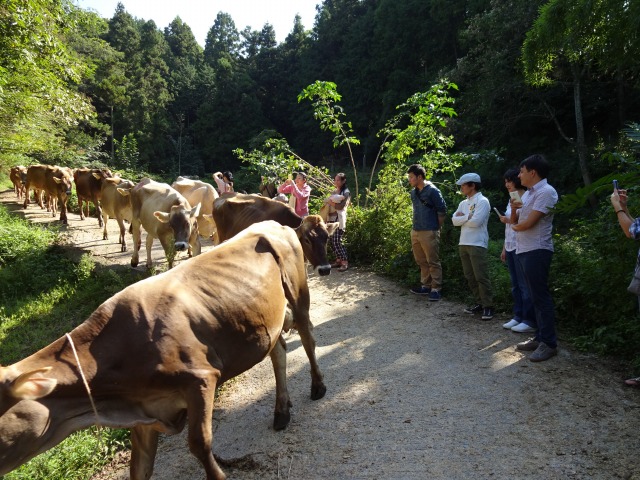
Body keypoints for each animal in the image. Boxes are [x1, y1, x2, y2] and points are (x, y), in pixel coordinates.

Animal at [0, 221, 328, 480]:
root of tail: (274, 223)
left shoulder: (201, 378)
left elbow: (199, 444)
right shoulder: (147, 412)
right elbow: (139, 468)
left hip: (298, 292)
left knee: (308, 337)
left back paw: (317, 386)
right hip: (263, 321)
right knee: (278, 351)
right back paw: (281, 410)